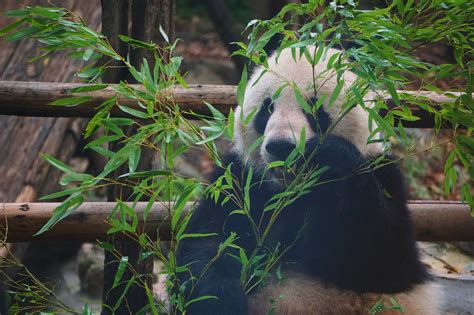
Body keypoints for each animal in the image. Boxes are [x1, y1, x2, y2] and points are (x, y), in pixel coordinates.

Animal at [176, 47, 442, 315]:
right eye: (267, 109)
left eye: (313, 109)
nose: (281, 146)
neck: (293, 190)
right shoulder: (241, 181)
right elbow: (209, 244)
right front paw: (219, 298)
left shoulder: (382, 172)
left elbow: (386, 261)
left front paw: (329, 154)